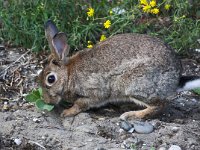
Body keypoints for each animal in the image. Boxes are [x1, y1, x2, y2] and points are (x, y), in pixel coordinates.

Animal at [38, 19, 199, 120]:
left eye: (50, 79)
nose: (46, 100)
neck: (69, 74)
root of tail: (175, 81)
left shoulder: (95, 91)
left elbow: (82, 103)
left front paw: (67, 112)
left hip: (135, 84)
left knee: (160, 105)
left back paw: (132, 115)